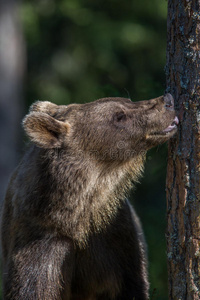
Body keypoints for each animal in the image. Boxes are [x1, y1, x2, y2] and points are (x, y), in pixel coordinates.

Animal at [0, 92, 178, 298]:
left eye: (128, 100)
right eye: (119, 116)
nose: (167, 101)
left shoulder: (116, 238)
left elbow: (132, 284)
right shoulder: (40, 243)